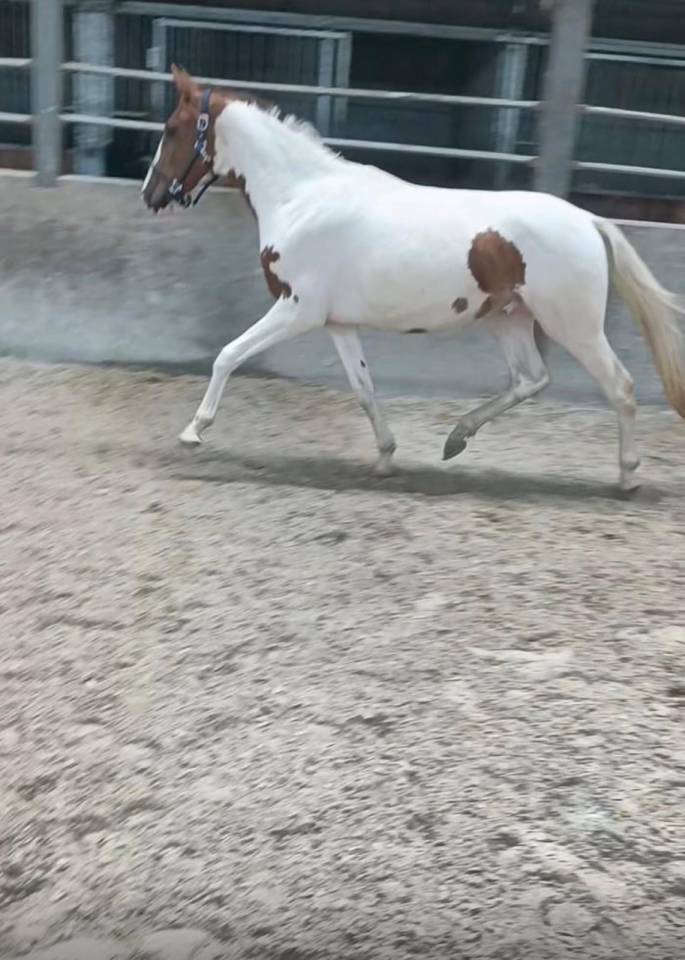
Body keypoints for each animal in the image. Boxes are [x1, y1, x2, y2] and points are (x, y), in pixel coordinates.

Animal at [142, 66, 685, 492]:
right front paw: (386, 455)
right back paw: (456, 439)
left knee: (620, 386)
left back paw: (627, 476)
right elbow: (363, 389)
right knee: (531, 378)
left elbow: (227, 355)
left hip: (574, 326)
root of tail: (589, 221)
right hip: (510, 318)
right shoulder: (336, 322)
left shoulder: (298, 309)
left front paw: (192, 433)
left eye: (171, 128)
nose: (150, 195)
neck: (302, 198)